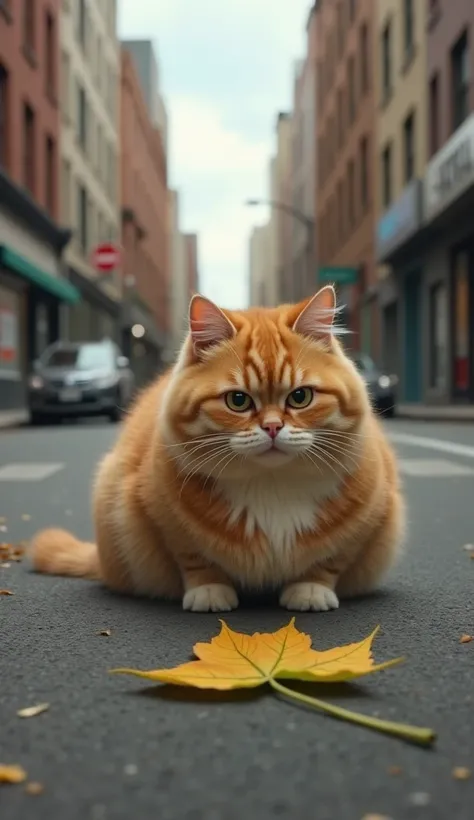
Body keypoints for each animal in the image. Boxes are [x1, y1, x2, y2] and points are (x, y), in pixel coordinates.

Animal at [30, 286, 404, 612]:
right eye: (238, 400)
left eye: (300, 397)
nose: (272, 427)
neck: (271, 484)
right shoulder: (160, 515)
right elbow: (193, 557)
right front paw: (209, 590)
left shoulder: (372, 517)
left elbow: (331, 559)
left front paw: (311, 588)